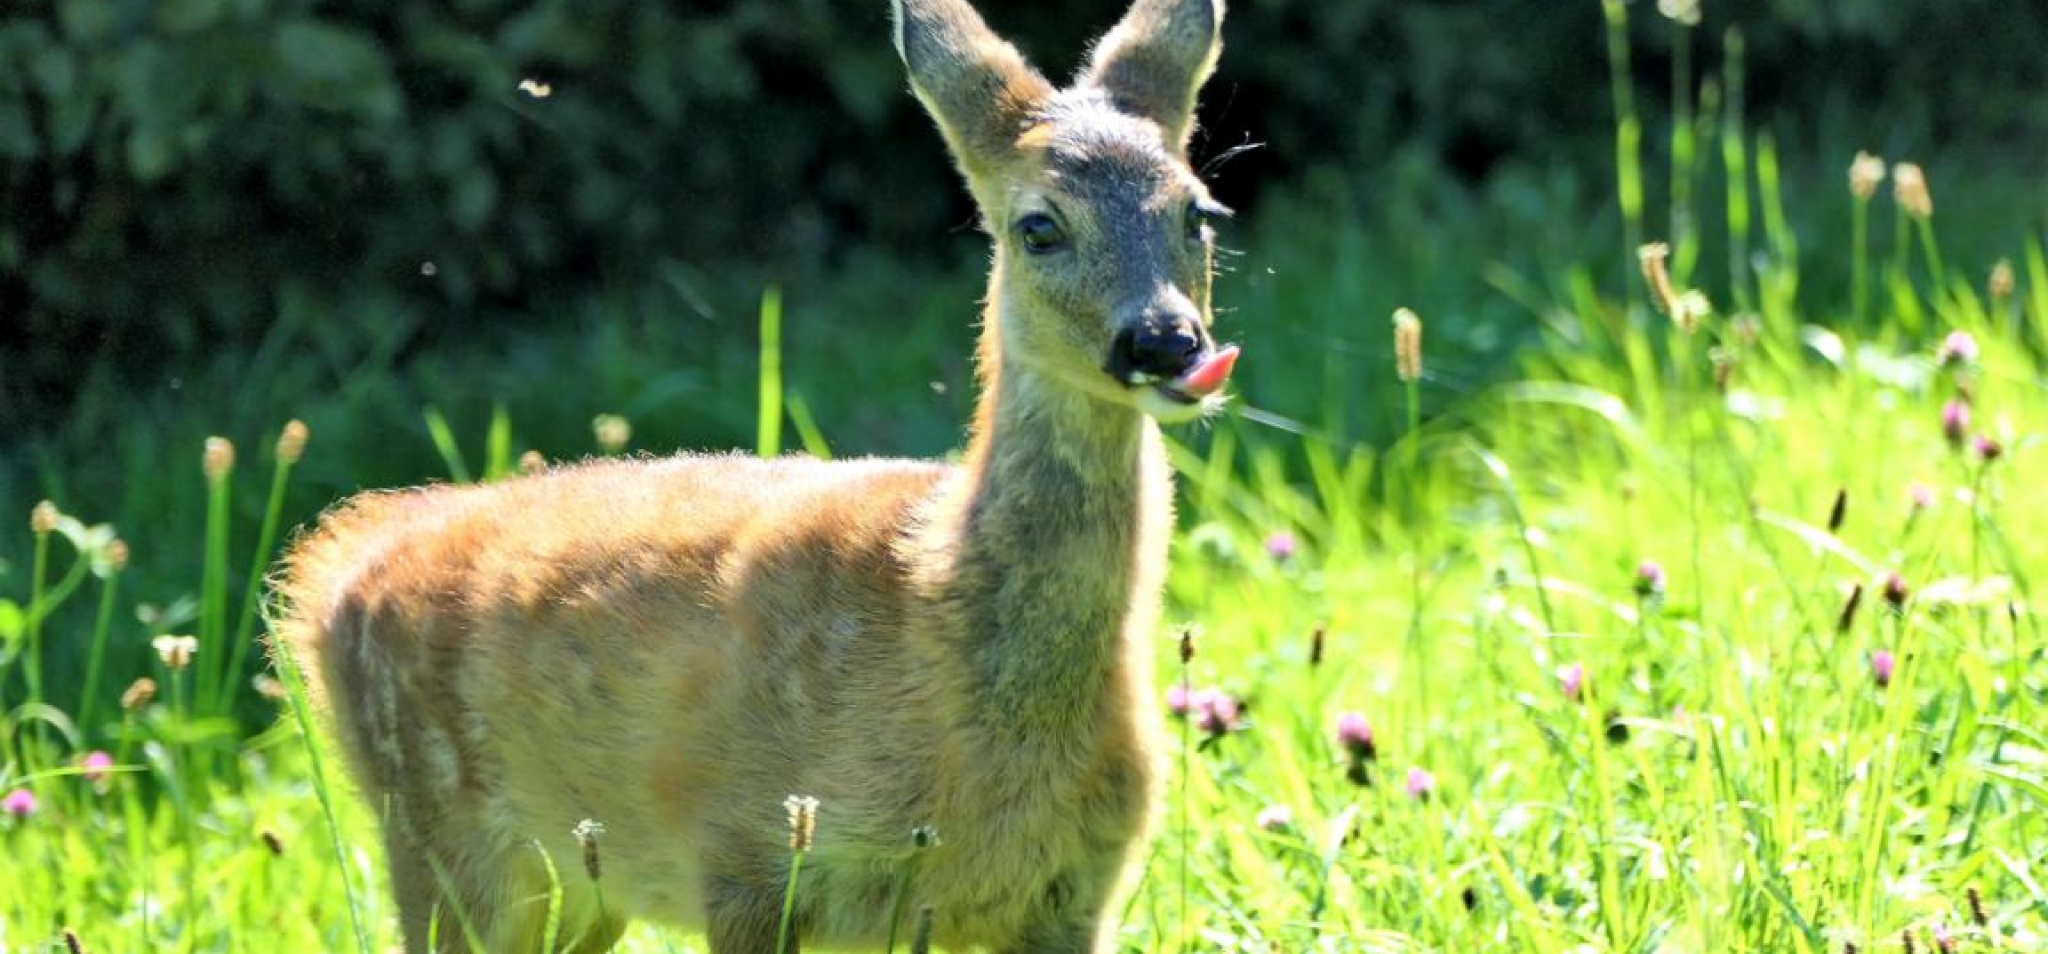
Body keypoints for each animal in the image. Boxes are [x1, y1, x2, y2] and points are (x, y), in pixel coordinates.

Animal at [280, 0, 1236, 949]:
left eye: (1198, 212)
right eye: (1039, 226)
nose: (1164, 340)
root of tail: (332, 574)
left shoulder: (1077, 887)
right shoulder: (747, 849)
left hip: (577, 888)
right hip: (443, 835)